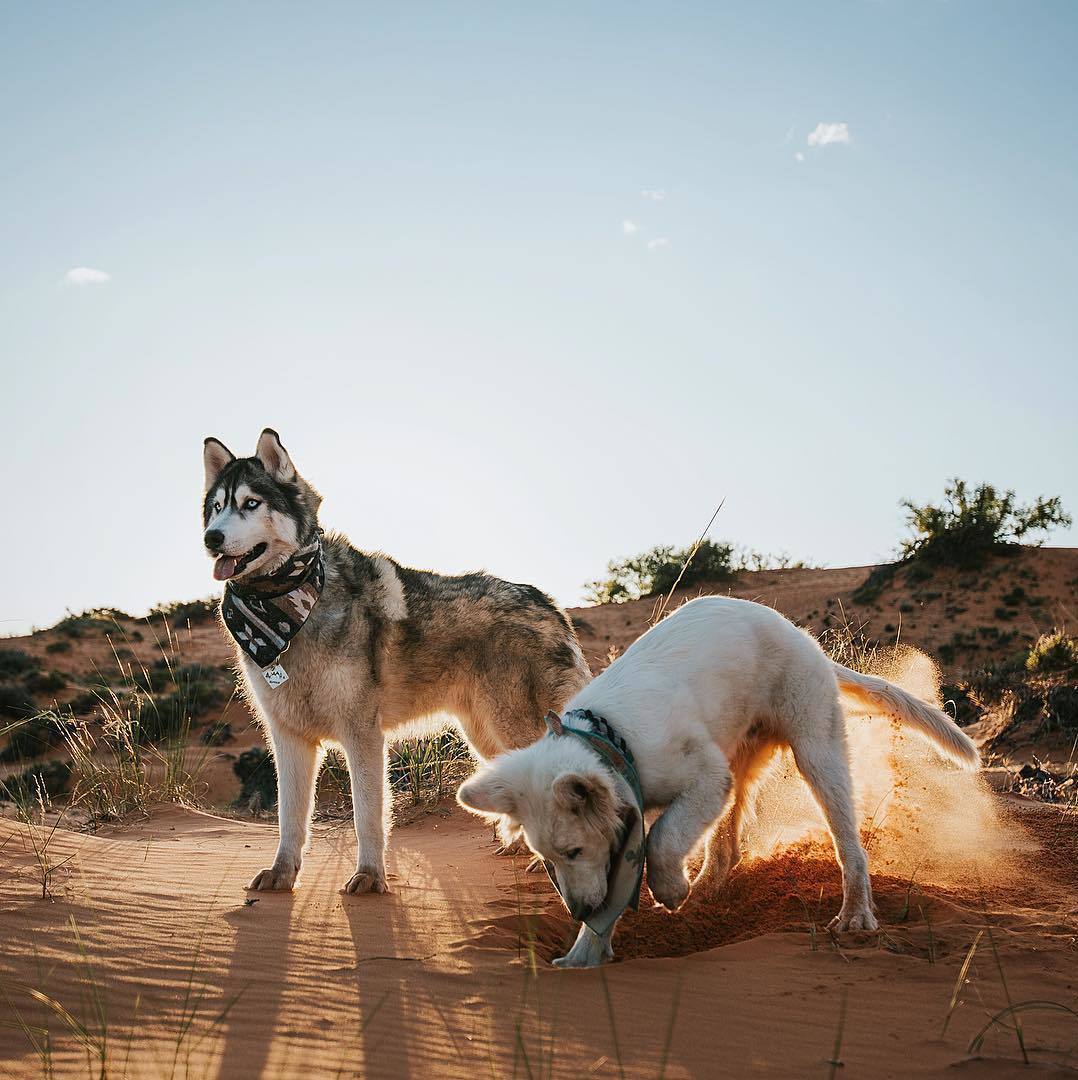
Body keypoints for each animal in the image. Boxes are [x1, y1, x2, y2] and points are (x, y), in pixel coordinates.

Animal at [203, 429, 591, 894]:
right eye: (216, 507)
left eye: (251, 503)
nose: (211, 538)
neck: (290, 609)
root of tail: (548, 602)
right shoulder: (289, 739)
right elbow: (290, 820)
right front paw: (282, 873)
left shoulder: (363, 735)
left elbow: (367, 816)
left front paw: (370, 877)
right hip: (484, 734)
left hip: (511, 727)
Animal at [455, 596, 980, 967]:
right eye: (546, 860)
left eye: (573, 850)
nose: (579, 912)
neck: (611, 735)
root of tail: (803, 639)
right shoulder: (658, 807)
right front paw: (584, 952)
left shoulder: (702, 778)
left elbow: (664, 837)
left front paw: (669, 890)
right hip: (739, 758)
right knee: (729, 844)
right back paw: (709, 886)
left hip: (814, 747)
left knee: (849, 840)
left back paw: (854, 914)